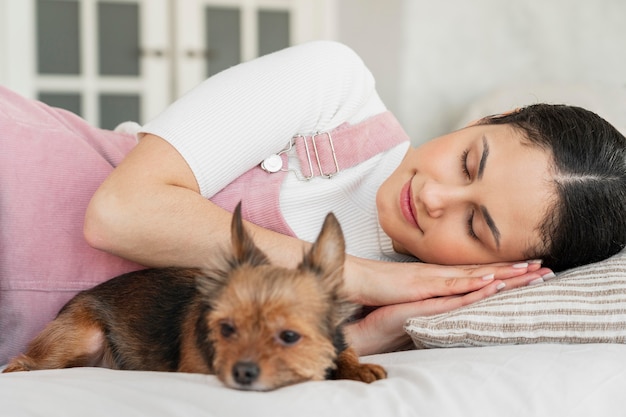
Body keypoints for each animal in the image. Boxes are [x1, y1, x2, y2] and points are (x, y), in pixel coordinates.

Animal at [3, 204, 386, 390]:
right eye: (226, 330)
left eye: (289, 336)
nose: (243, 371)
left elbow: (345, 355)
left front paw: (358, 368)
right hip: (84, 335)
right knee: (23, 362)